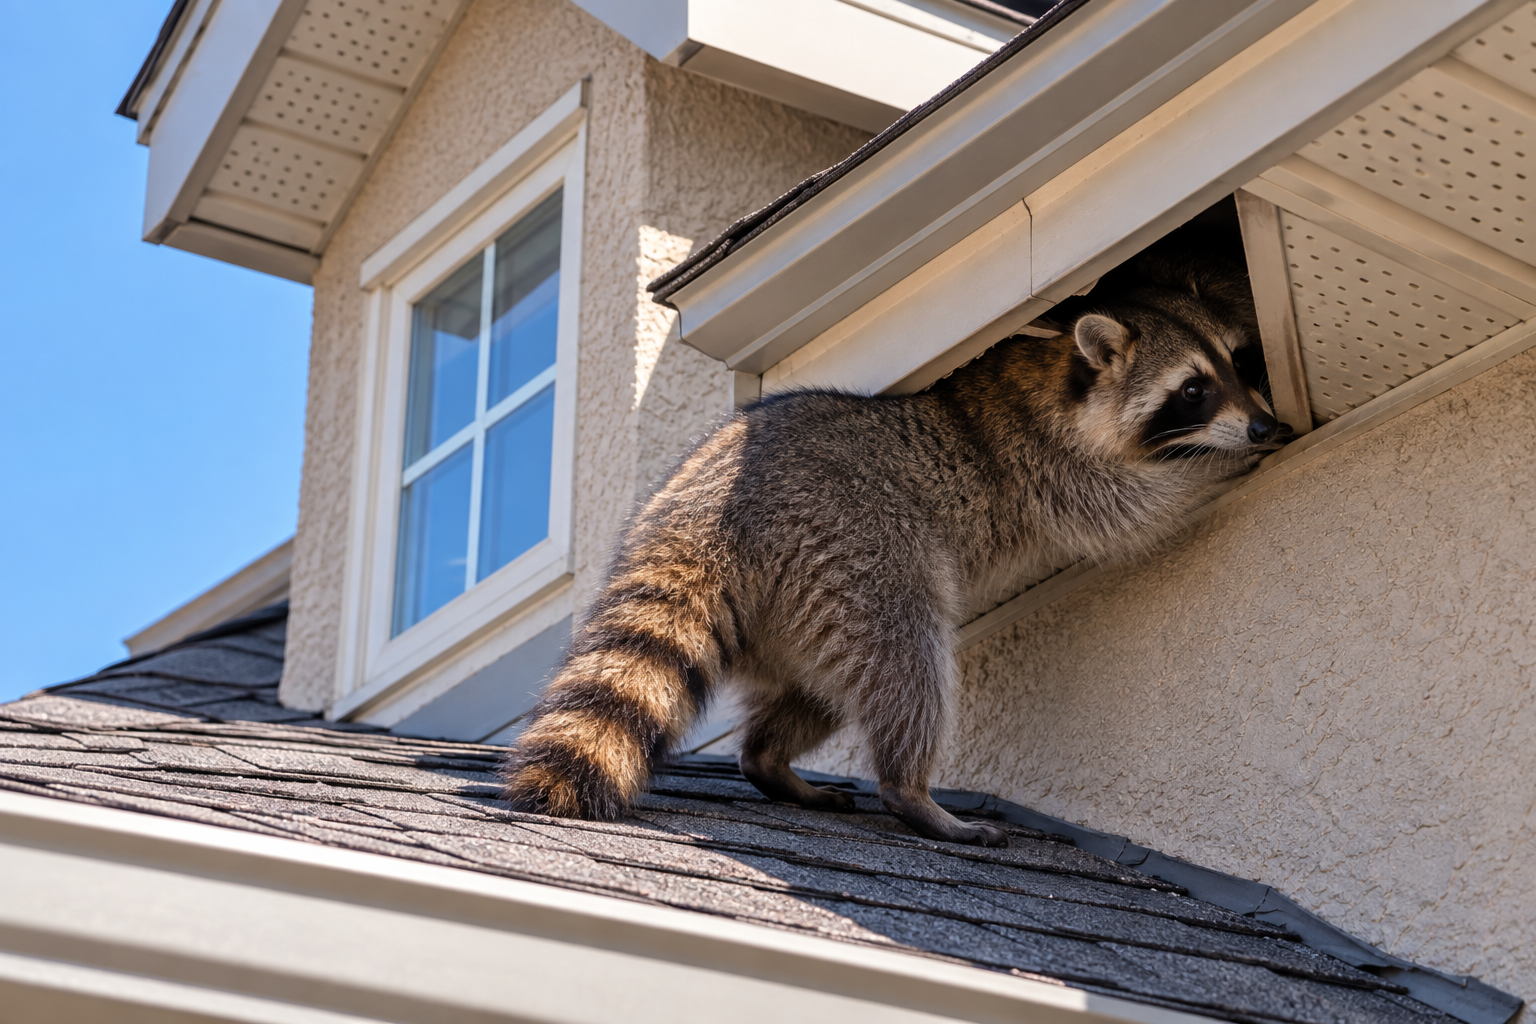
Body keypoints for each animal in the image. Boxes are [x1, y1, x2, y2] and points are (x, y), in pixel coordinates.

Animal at [501, 241, 1282, 847]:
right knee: (907, 659)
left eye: (1243, 362)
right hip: (852, 543)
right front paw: (1222, 464)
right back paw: (912, 792)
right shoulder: (1037, 459)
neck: (1056, 367)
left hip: (795, 607)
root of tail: (700, 515)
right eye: (1192, 390)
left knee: (822, 690)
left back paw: (768, 759)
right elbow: (1128, 508)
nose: (1263, 426)